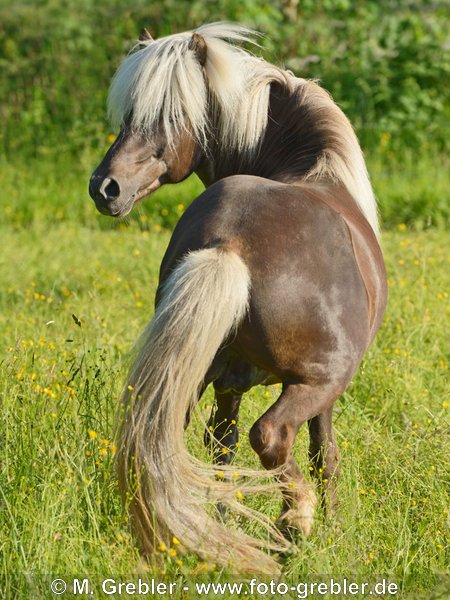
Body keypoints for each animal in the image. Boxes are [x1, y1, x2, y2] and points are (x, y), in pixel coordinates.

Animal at [89, 23, 388, 576]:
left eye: (169, 117)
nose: (105, 187)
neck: (317, 171)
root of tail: (231, 241)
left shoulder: (230, 381)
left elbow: (219, 450)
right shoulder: (321, 390)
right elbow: (325, 454)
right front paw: (333, 526)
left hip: (191, 373)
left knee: (188, 441)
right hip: (319, 380)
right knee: (270, 437)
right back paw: (295, 524)